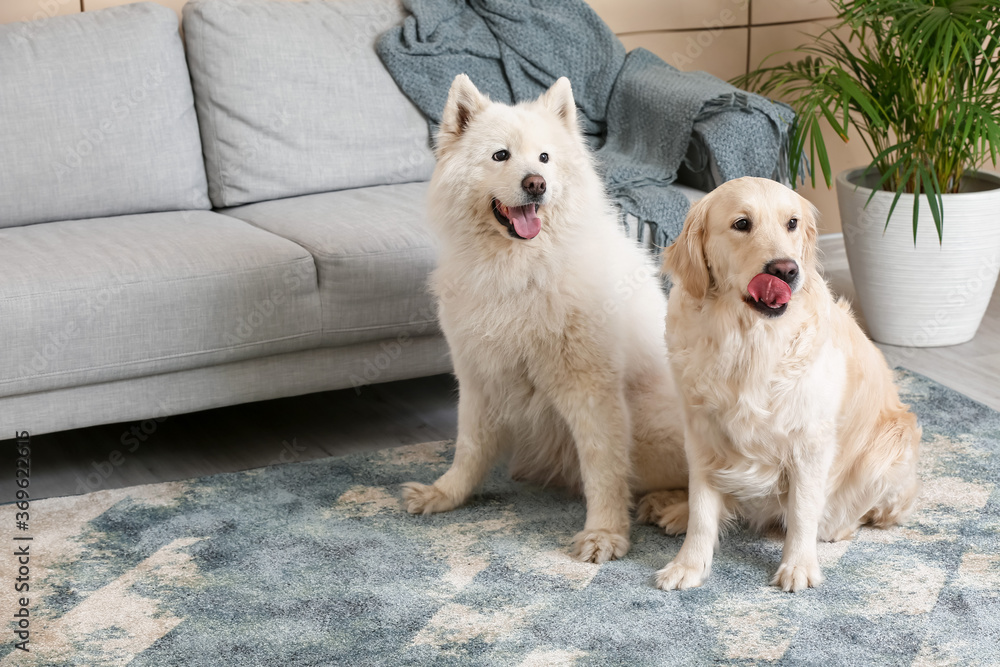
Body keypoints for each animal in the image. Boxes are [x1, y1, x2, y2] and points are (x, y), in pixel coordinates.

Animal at [398, 74, 688, 564]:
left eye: (545, 158)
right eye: (501, 155)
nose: (536, 184)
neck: (521, 269)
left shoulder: (590, 390)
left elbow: (604, 466)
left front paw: (604, 534)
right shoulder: (479, 378)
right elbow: (468, 447)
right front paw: (446, 495)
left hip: (655, 422)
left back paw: (674, 509)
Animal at [656, 176, 920, 588]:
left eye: (792, 223)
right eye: (741, 224)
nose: (786, 270)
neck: (748, 341)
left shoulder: (810, 441)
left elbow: (802, 511)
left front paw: (797, 566)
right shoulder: (701, 433)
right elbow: (702, 507)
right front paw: (688, 564)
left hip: (891, 442)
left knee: (855, 514)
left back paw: (835, 527)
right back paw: (677, 512)